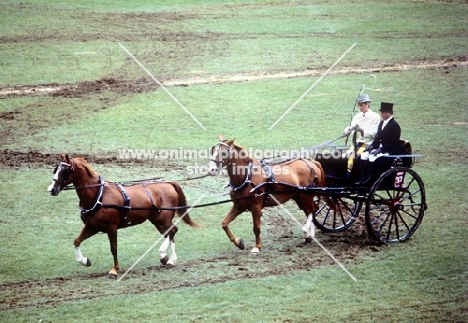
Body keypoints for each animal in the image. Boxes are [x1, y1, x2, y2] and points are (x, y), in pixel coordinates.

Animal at [47, 154, 199, 278]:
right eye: (56, 169)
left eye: (65, 170)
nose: (51, 189)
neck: (98, 195)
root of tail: (168, 183)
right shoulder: (92, 226)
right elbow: (77, 241)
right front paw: (85, 261)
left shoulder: (111, 227)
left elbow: (113, 248)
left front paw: (114, 270)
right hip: (156, 220)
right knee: (170, 233)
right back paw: (171, 260)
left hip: (163, 219)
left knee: (172, 231)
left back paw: (163, 255)